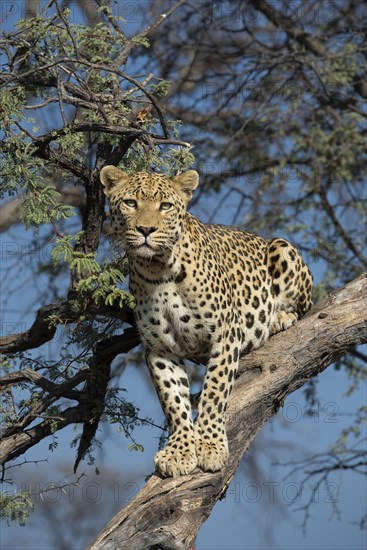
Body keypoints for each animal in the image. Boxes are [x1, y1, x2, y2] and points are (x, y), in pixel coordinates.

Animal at [100, 167, 314, 478]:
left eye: (165, 206)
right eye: (130, 203)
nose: (146, 230)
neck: (158, 269)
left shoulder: (225, 335)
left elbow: (215, 390)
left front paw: (211, 446)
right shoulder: (160, 347)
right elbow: (173, 399)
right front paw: (179, 451)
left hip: (282, 247)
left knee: (301, 306)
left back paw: (280, 318)